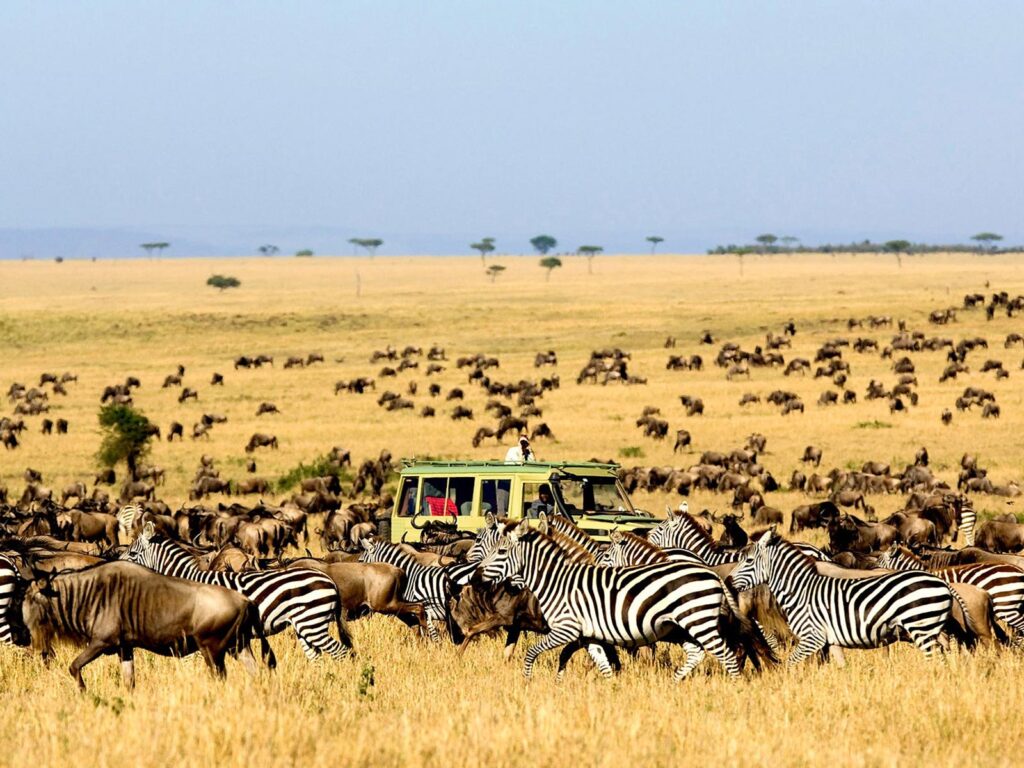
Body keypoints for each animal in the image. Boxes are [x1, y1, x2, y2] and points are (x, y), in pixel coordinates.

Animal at [121, 524, 348, 663]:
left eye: (132, 553)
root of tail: (328, 580)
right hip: (304, 625)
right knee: (317, 658)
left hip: (312, 622)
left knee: (341, 652)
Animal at [475, 524, 741, 679]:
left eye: (501, 551)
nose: (476, 575)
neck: (556, 581)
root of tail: (711, 572)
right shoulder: (589, 635)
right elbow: (603, 665)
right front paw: (612, 691)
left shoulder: (566, 629)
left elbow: (532, 652)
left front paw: (527, 681)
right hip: (683, 626)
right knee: (697, 654)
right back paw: (676, 683)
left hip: (698, 620)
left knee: (726, 655)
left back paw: (734, 688)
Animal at [729, 532, 950, 663]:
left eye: (748, 560)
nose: (729, 580)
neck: (800, 590)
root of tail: (941, 583)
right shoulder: (830, 640)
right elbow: (838, 666)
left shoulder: (812, 637)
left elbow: (791, 664)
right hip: (930, 628)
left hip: (921, 628)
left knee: (935, 659)